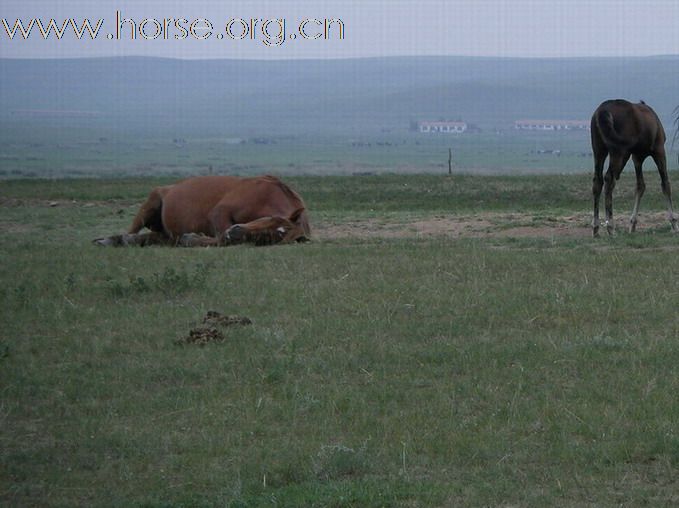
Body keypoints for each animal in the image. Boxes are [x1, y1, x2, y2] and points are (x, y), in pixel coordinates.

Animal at [93, 176, 310, 247]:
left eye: (267, 239)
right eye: (271, 219)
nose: (237, 231)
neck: (267, 194)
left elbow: (221, 240)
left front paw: (191, 239)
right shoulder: (219, 212)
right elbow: (222, 236)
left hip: (166, 235)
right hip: (150, 206)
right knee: (131, 231)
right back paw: (110, 240)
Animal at [588, 98, 679, 236]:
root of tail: (601, 112)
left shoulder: (637, 158)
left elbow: (640, 186)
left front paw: (632, 224)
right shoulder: (659, 150)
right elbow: (665, 184)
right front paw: (674, 223)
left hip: (599, 150)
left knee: (597, 181)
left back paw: (596, 228)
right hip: (618, 151)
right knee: (609, 179)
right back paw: (611, 227)